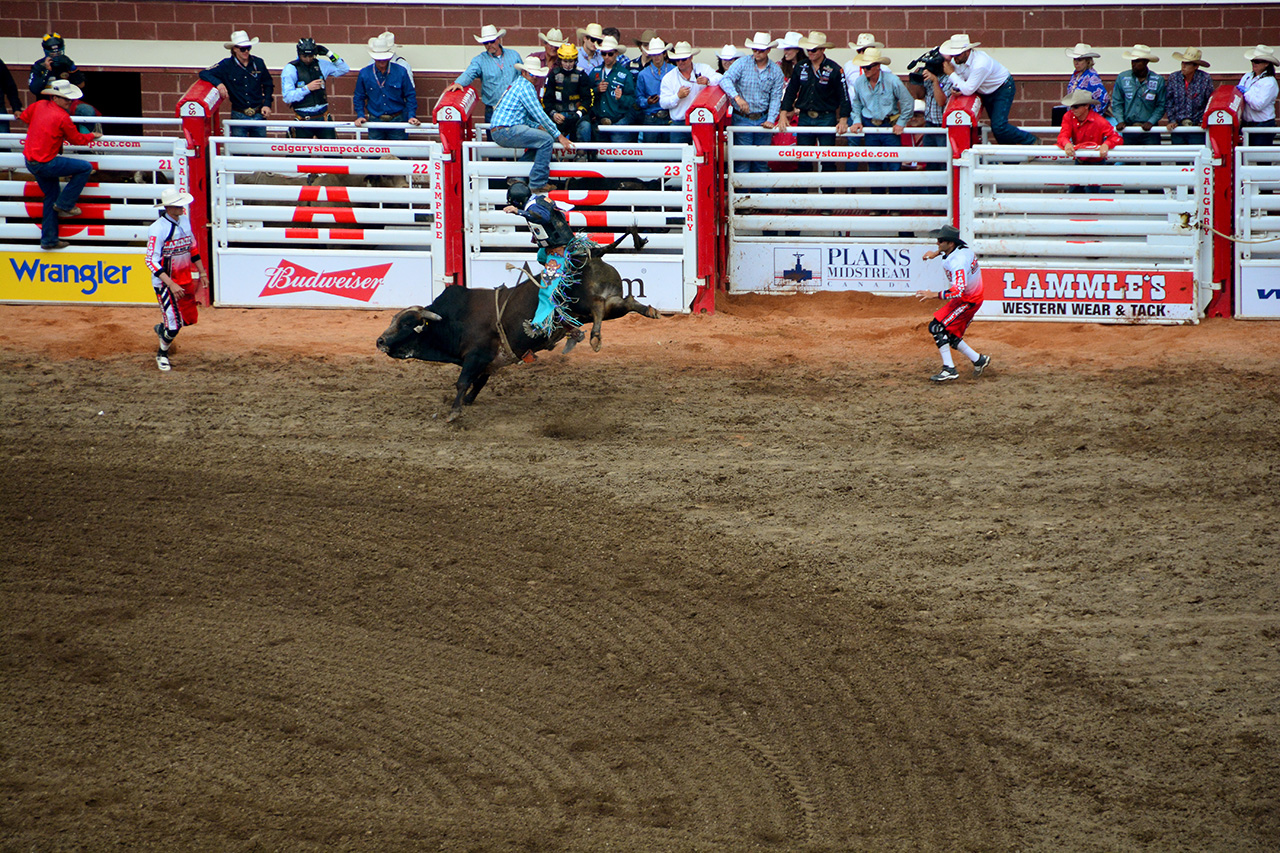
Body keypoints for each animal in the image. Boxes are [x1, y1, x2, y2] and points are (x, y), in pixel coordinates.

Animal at [373, 229, 660, 417]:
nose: (380, 340)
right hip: (610, 303)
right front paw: (467, 401)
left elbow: (463, 381)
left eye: (406, 324)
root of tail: (590, 255)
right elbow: (478, 383)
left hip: (584, 305)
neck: (454, 321)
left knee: (599, 307)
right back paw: (649, 311)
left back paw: (596, 337)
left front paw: (454, 412)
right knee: (625, 303)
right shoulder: (488, 362)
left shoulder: (475, 355)